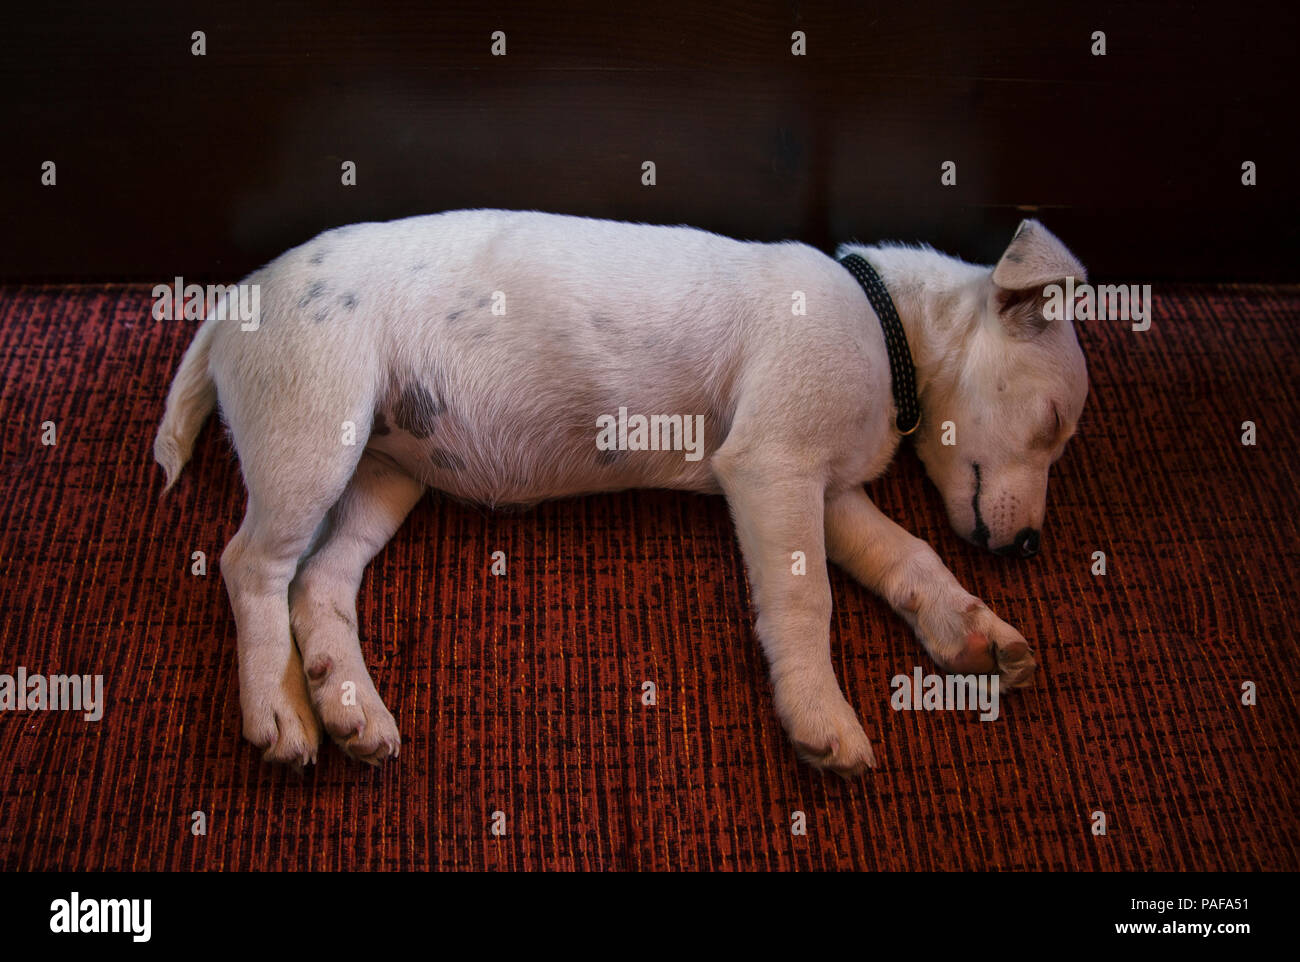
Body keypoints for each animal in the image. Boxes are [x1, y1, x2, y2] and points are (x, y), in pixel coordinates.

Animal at [154, 210, 1086, 774]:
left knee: (320, 580)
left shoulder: (830, 497)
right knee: (251, 567)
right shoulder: (774, 467)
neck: (883, 318)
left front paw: (973, 630)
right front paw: (820, 714)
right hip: (314, 436)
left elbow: (911, 555)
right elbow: (805, 598)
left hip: (382, 476)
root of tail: (236, 300)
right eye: (1051, 422)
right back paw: (276, 706)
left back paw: (347, 703)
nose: (1030, 546)